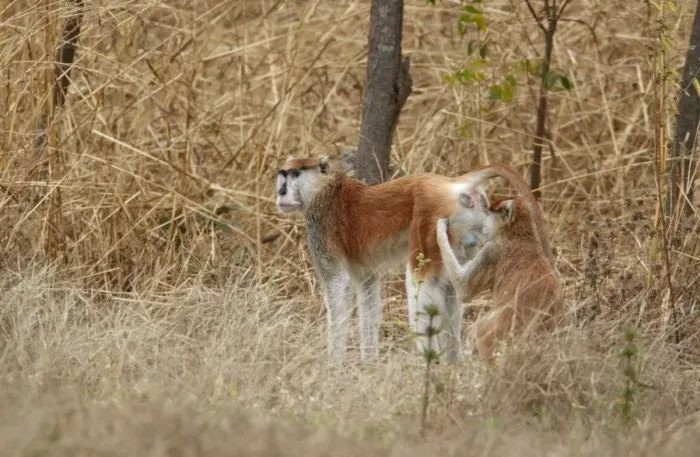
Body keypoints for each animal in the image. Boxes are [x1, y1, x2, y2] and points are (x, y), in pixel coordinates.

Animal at [275, 154, 549, 363]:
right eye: (283, 174)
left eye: (295, 174)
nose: (281, 191)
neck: (325, 187)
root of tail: (452, 184)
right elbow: (367, 287)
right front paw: (367, 363)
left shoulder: (320, 224)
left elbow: (337, 285)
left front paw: (335, 364)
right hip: (465, 226)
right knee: (453, 287)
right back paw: (451, 364)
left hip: (430, 218)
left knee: (419, 282)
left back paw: (430, 364)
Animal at [435, 192, 563, 362]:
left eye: (489, 215)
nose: (484, 227)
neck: (520, 233)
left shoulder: (491, 250)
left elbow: (464, 289)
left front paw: (440, 229)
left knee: (480, 329)